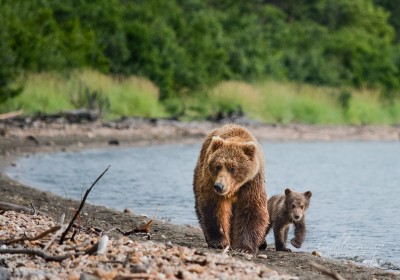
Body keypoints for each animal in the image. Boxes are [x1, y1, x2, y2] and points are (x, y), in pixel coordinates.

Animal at [193, 124, 268, 254]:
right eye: (218, 166)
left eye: (233, 168)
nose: (219, 186)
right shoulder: (210, 179)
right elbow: (215, 207)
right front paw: (219, 242)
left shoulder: (252, 182)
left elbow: (251, 208)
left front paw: (244, 247)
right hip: (199, 173)